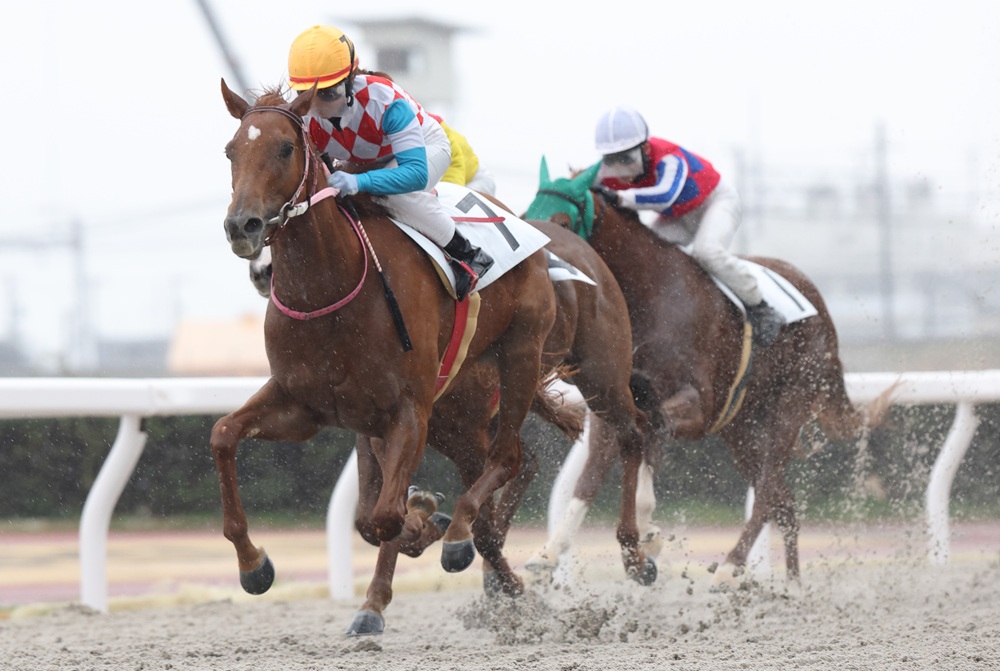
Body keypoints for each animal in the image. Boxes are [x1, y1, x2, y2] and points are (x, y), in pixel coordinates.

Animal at [214, 79, 559, 632]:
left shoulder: (408, 410)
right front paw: (254, 565)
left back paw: (455, 538)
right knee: (485, 495)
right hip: (449, 422)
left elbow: (385, 517)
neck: (329, 287)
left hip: (520, 352)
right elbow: (224, 435)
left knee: (507, 458)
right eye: (230, 151)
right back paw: (496, 579)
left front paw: (429, 520)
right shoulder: (303, 405)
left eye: (285, 148)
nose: (241, 226)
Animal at [523, 159, 893, 586]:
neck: (649, 294)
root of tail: (819, 304)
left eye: (562, 222)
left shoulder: (696, 404)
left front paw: (647, 531)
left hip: (792, 402)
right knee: (783, 501)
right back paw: (792, 583)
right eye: (525, 215)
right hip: (740, 426)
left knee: (769, 486)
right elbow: (592, 472)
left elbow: (654, 432)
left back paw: (732, 565)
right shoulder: (612, 398)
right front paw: (548, 553)